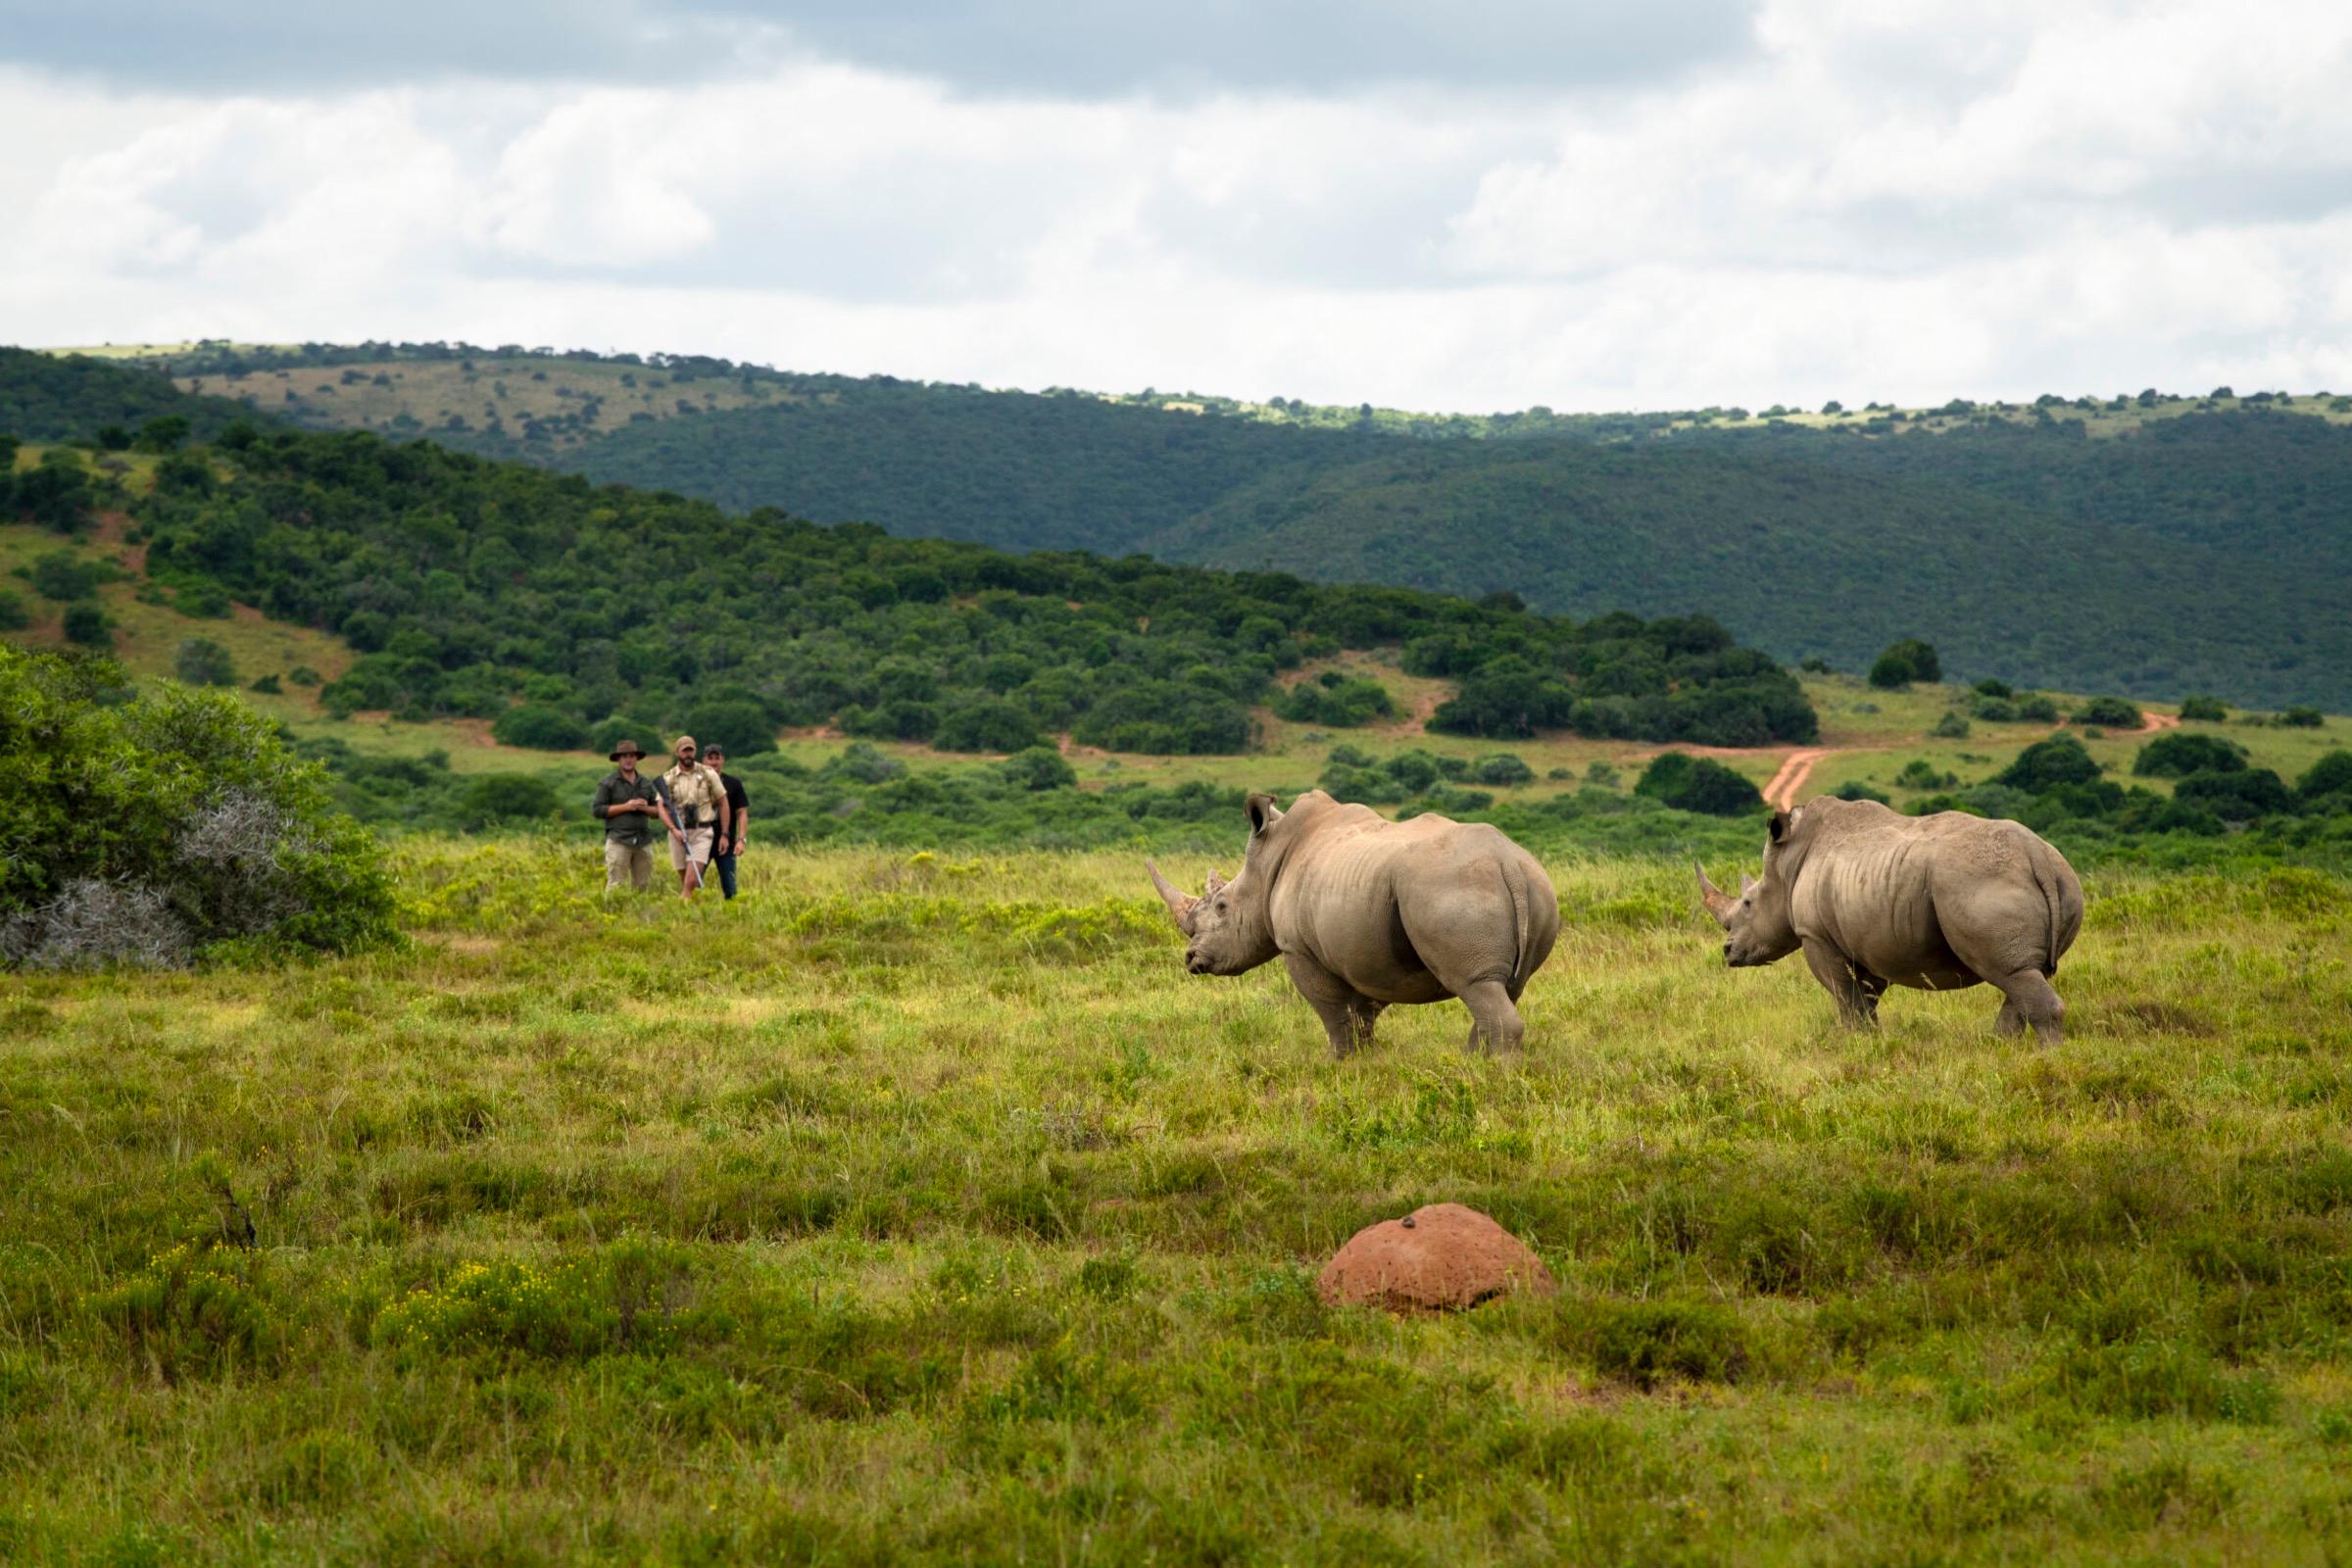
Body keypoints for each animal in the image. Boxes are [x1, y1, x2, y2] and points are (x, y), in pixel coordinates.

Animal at [1147, 789, 1559, 1055]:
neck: (1266, 865)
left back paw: (1491, 1076)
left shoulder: (1298, 948)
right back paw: (1471, 1062)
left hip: (1452, 888)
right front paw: (1368, 1060)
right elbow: (1364, 1011)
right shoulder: (1363, 948)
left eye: (1221, 906)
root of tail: (1507, 862)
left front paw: (1339, 1063)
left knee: (1475, 983)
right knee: (1504, 987)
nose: (1191, 959)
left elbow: (1332, 1009)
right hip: (1537, 888)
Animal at [1696, 796, 2084, 1039]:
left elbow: (1843, 995)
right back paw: (2001, 1048)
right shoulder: (1868, 937)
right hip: (2066, 883)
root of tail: (2037, 857)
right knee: (2022, 975)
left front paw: (1851, 1043)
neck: (1788, 864)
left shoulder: (1816, 936)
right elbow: (1865, 999)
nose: (1728, 951)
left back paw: (2044, 1060)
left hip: (1977, 882)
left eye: (1748, 903)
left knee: (2011, 974)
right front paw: (1871, 1043)